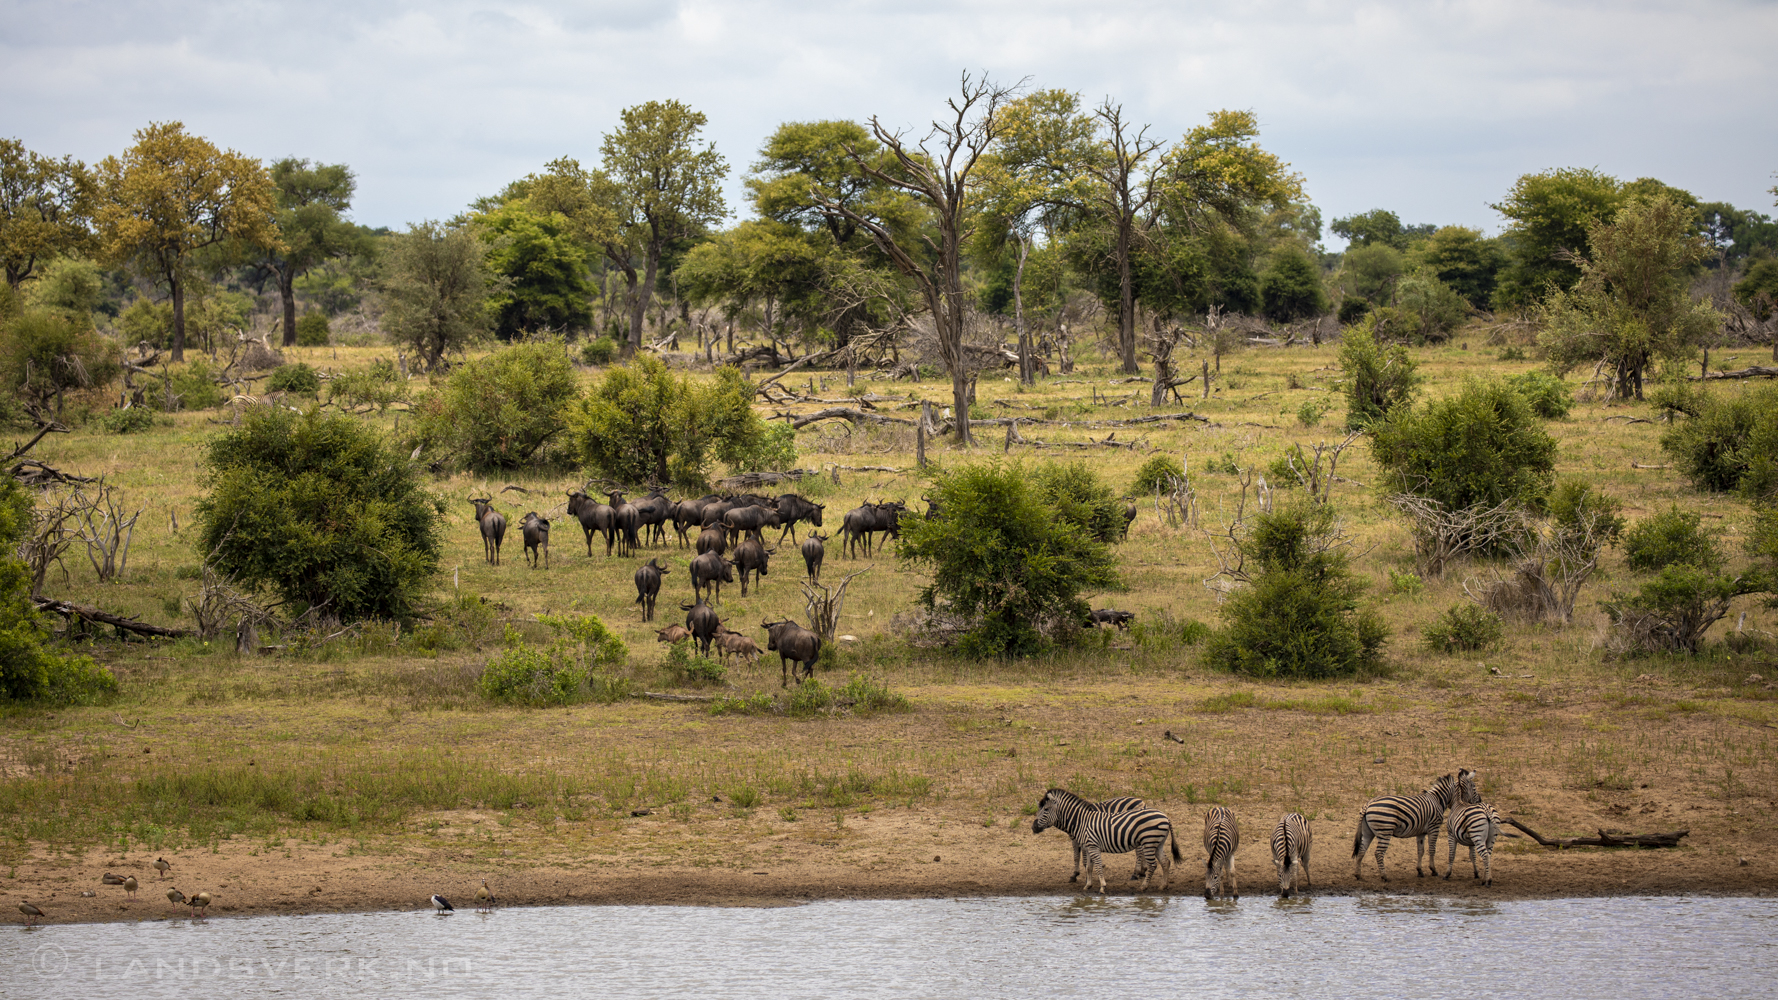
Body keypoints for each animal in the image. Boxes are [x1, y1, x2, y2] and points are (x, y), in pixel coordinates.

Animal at [1031, 790, 1180, 889]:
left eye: (1045, 809)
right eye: (1039, 809)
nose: (1033, 827)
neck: (1079, 820)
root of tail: (1166, 817)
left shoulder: (1086, 843)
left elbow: (1084, 860)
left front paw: (1086, 879)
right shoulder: (1084, 843)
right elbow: (1086, 863)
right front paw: (1087, 882)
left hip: (1148, 840)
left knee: (1148, 860)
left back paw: (1141, 881)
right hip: (1156, 842)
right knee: (1165, 862)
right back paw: (1160, 884)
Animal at [1344, 765, 1472, 875]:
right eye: (1472, 788)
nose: (1473, 802)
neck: (1438, 800)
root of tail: (1368, 804)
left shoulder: (1421, 832)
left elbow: (1420, 851)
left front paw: (1420, 871)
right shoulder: (1434, 827)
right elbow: (1432, 849)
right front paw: (1433, 870)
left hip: (1368, 831)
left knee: (1362, 850)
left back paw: (1358, 875)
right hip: (1385, 830)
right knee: (1378, 853)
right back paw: (1384, 877)